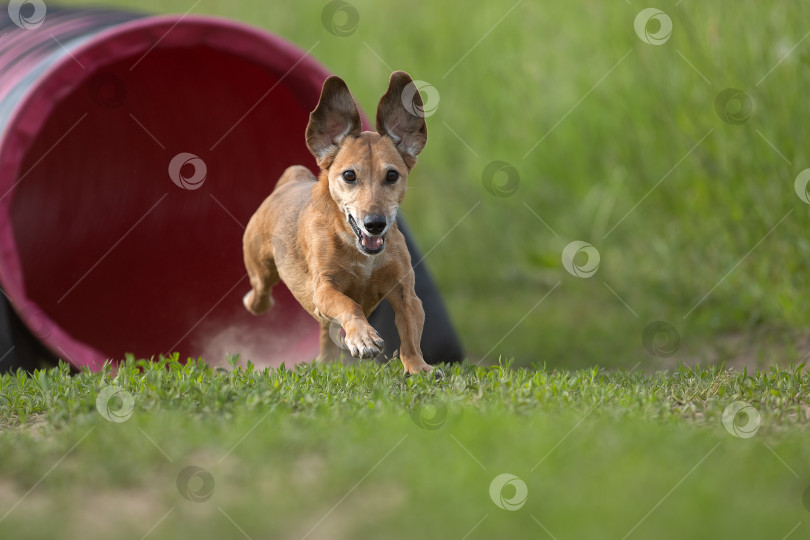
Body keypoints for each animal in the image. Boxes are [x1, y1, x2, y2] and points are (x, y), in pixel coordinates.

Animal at [240, 70, 432, 376]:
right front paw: (364, 338)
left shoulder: (406, 292)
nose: (374, 224)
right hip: (259, 265)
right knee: (259, 294)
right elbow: (348, 303)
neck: (359, 252)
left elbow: (411, 334)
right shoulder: (325, 288)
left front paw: (418, 367)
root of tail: (292, 179)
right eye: (349, 175)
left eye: (392, 175)